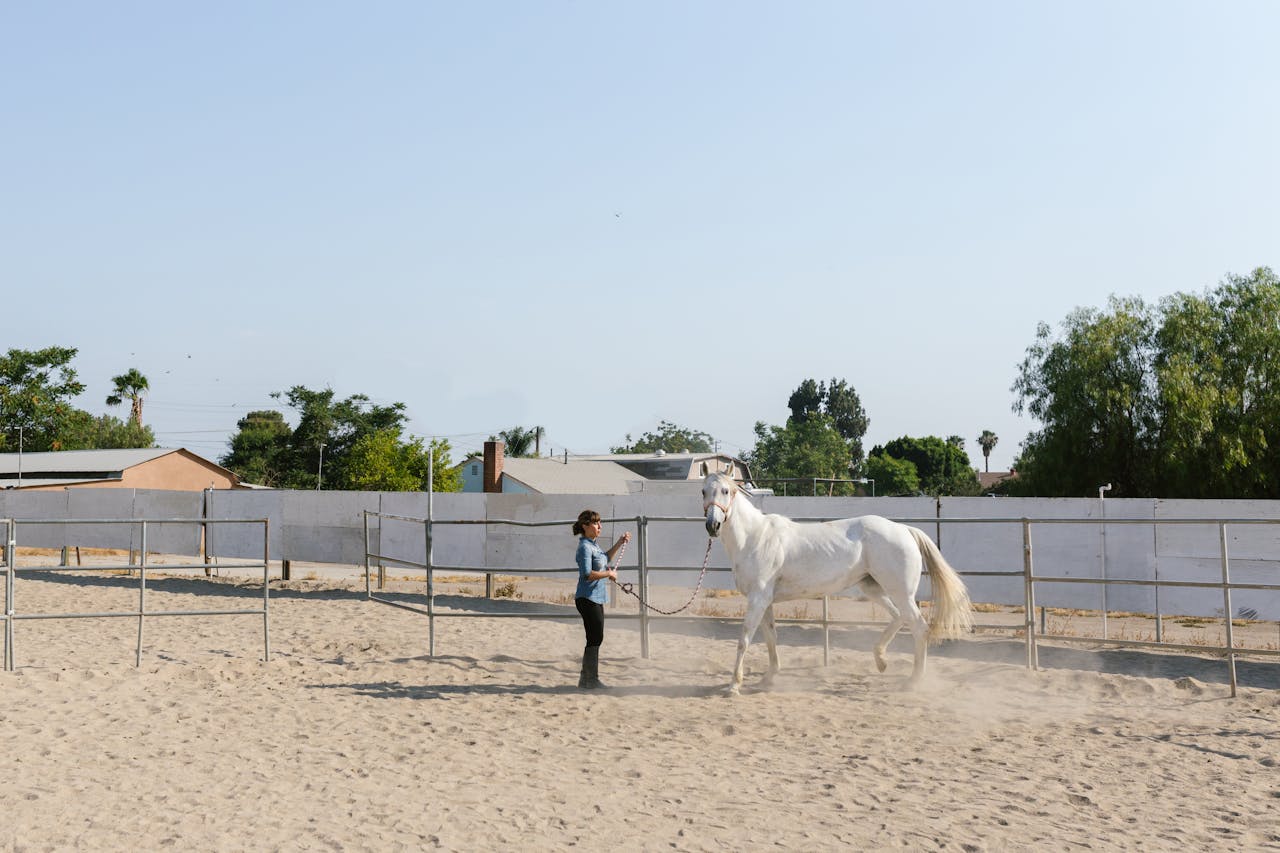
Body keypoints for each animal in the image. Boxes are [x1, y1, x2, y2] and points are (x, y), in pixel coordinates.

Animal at [701, 472, 973, 693]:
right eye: (703, 491)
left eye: (725, 491)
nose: (712, 525)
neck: (755, 538)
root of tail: (904, 530)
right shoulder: (765, 601)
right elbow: (770, 637)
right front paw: (769, 678)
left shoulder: (758, 599)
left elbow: (744, 639)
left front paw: (734, 685)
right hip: (872, 587)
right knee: (898, 617)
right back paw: (881, 661)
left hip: (900, 592)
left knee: (919, 627)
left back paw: (914, 681)